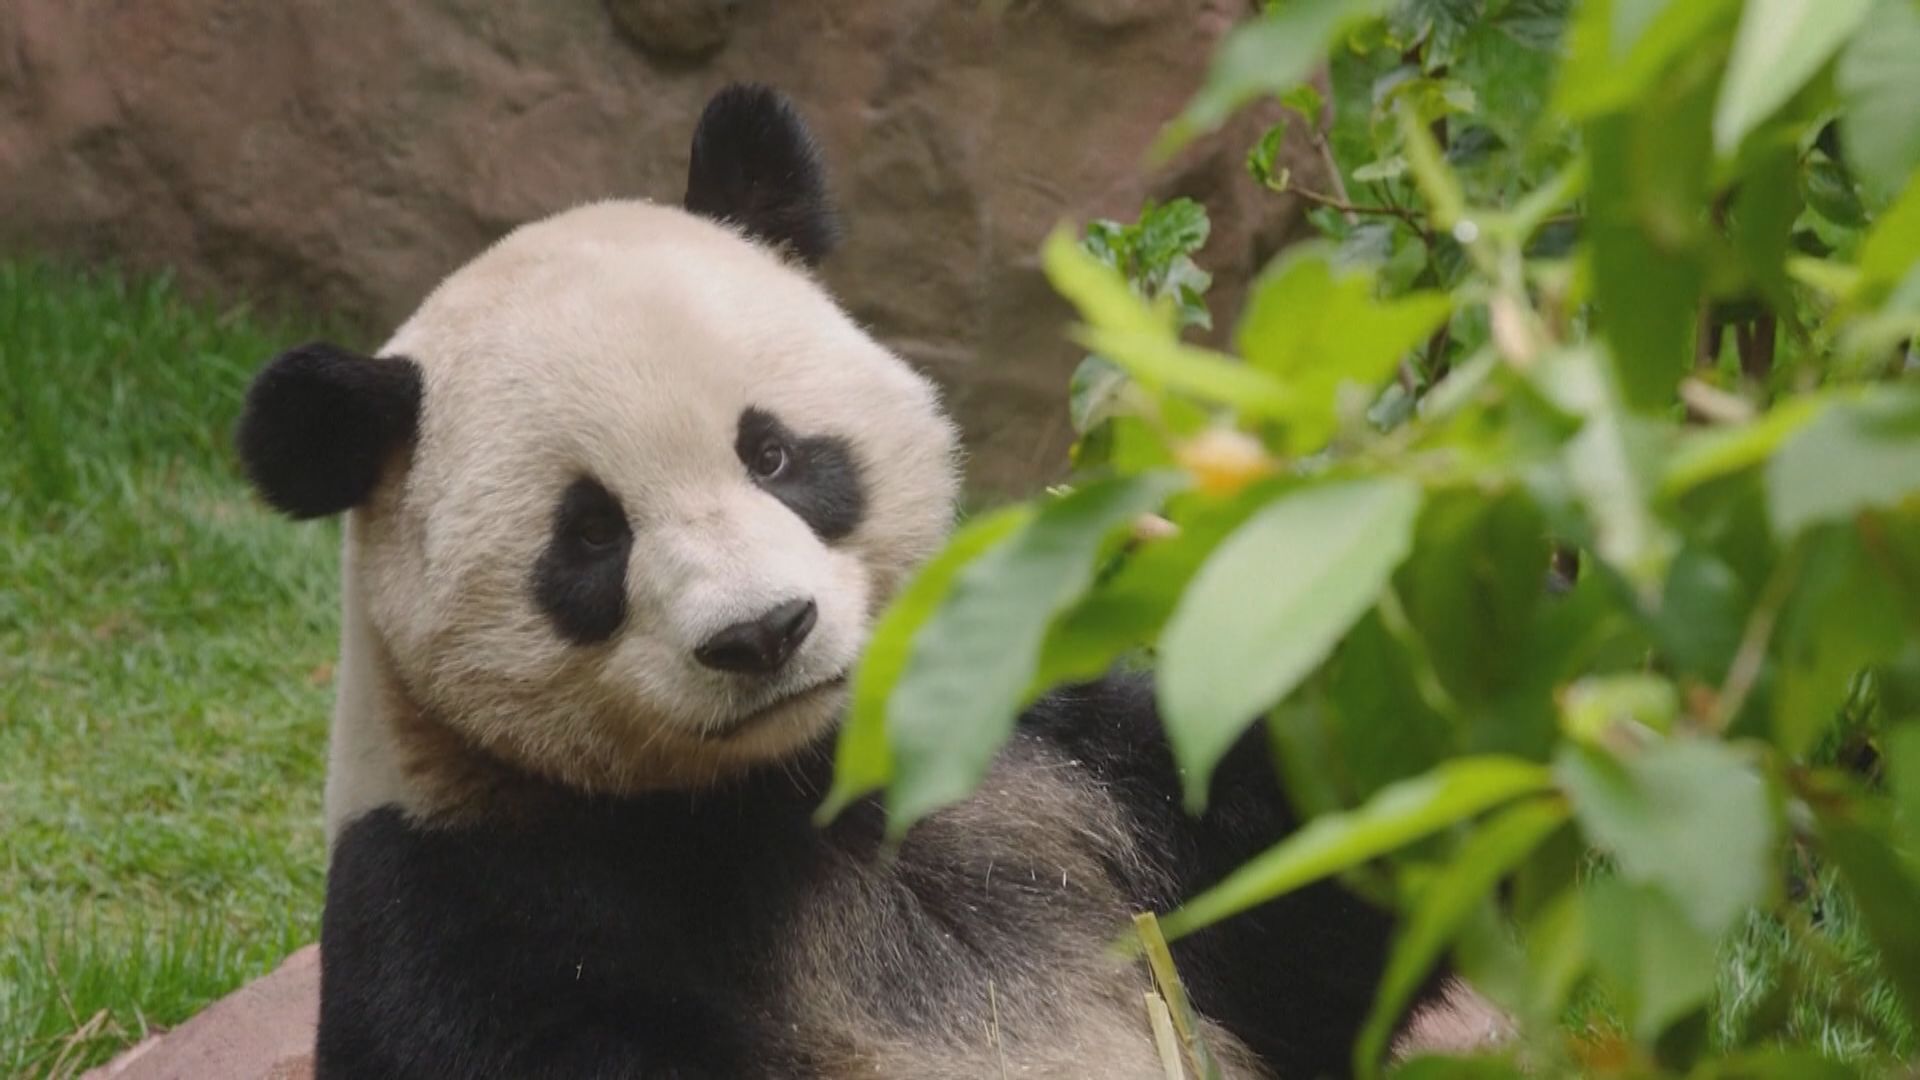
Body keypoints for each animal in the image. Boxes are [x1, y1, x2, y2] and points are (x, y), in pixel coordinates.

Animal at [232, 79, 1459, 1068]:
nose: (762, 632)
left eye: (772, 453)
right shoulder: (472, 890)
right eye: (590, 537)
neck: (795, 784)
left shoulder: (1049, 754)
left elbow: (1324, 893)